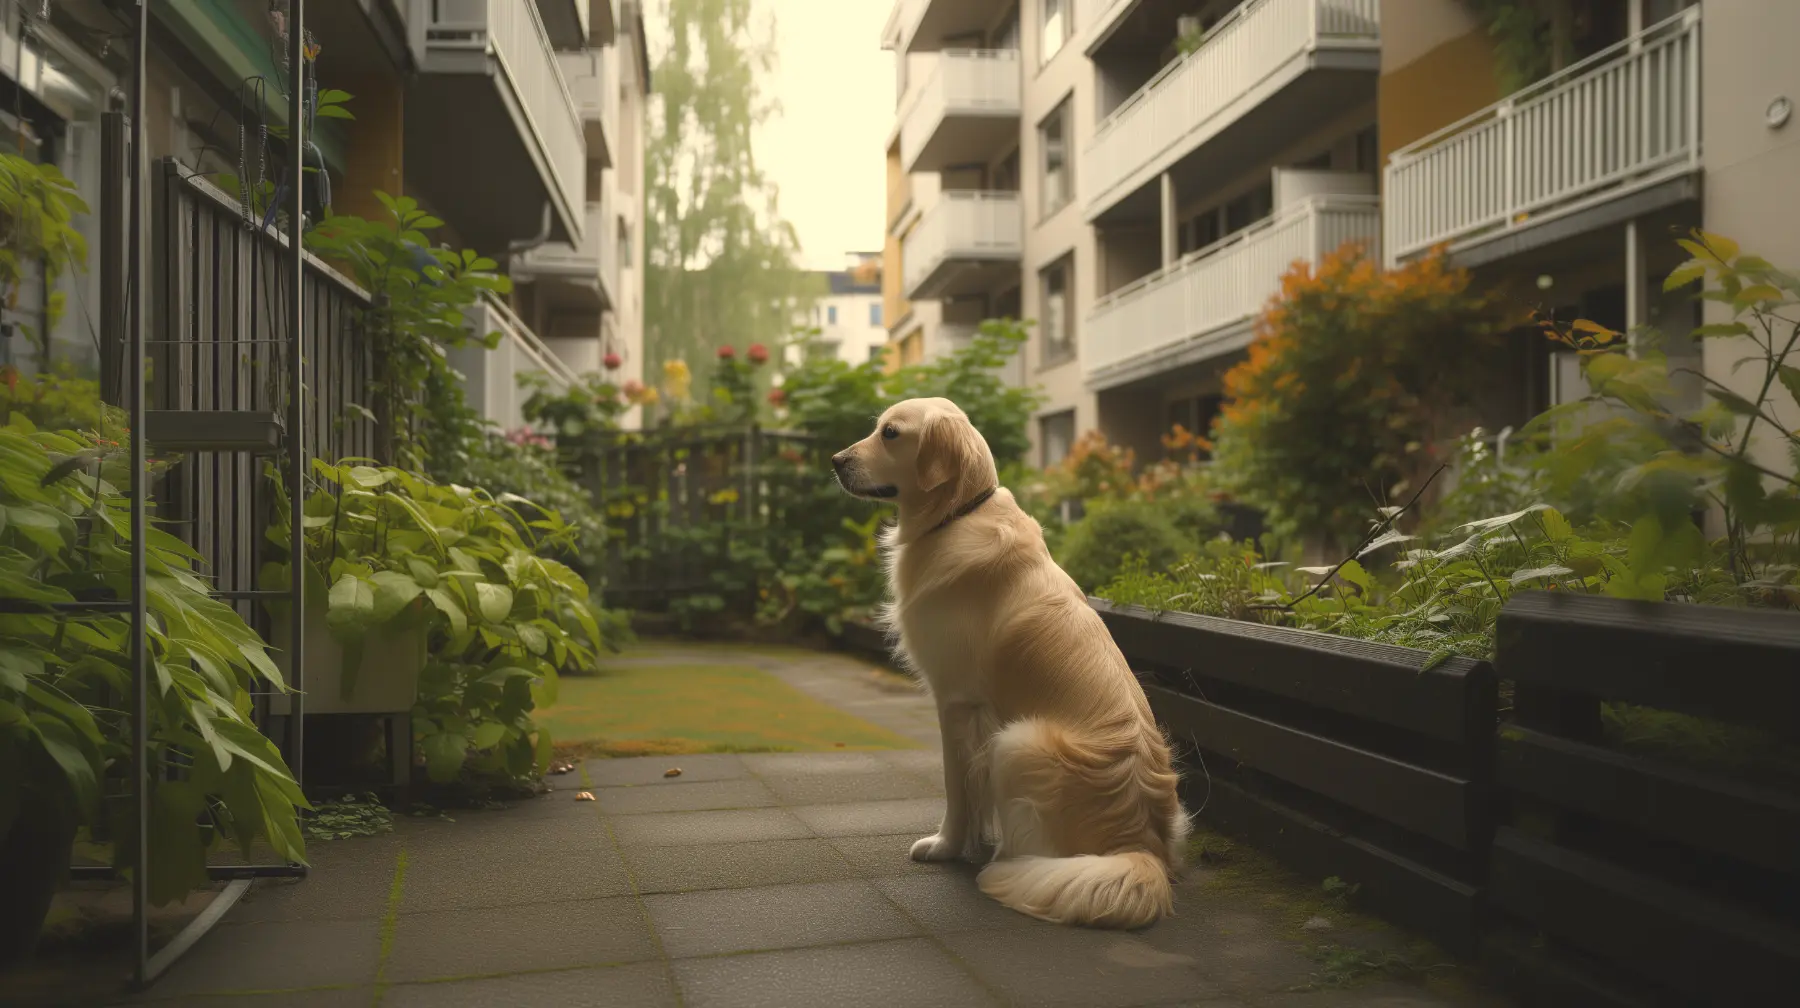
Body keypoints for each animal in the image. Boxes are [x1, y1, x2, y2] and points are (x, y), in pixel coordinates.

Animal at [835, 396, 1188, 928]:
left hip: (1018, 741)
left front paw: (946, 846)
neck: (956, 515)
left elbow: (956, 785)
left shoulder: (953, 699)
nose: (835, 461)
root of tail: (1141, 849)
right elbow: (973, 789)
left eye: (890, 433)